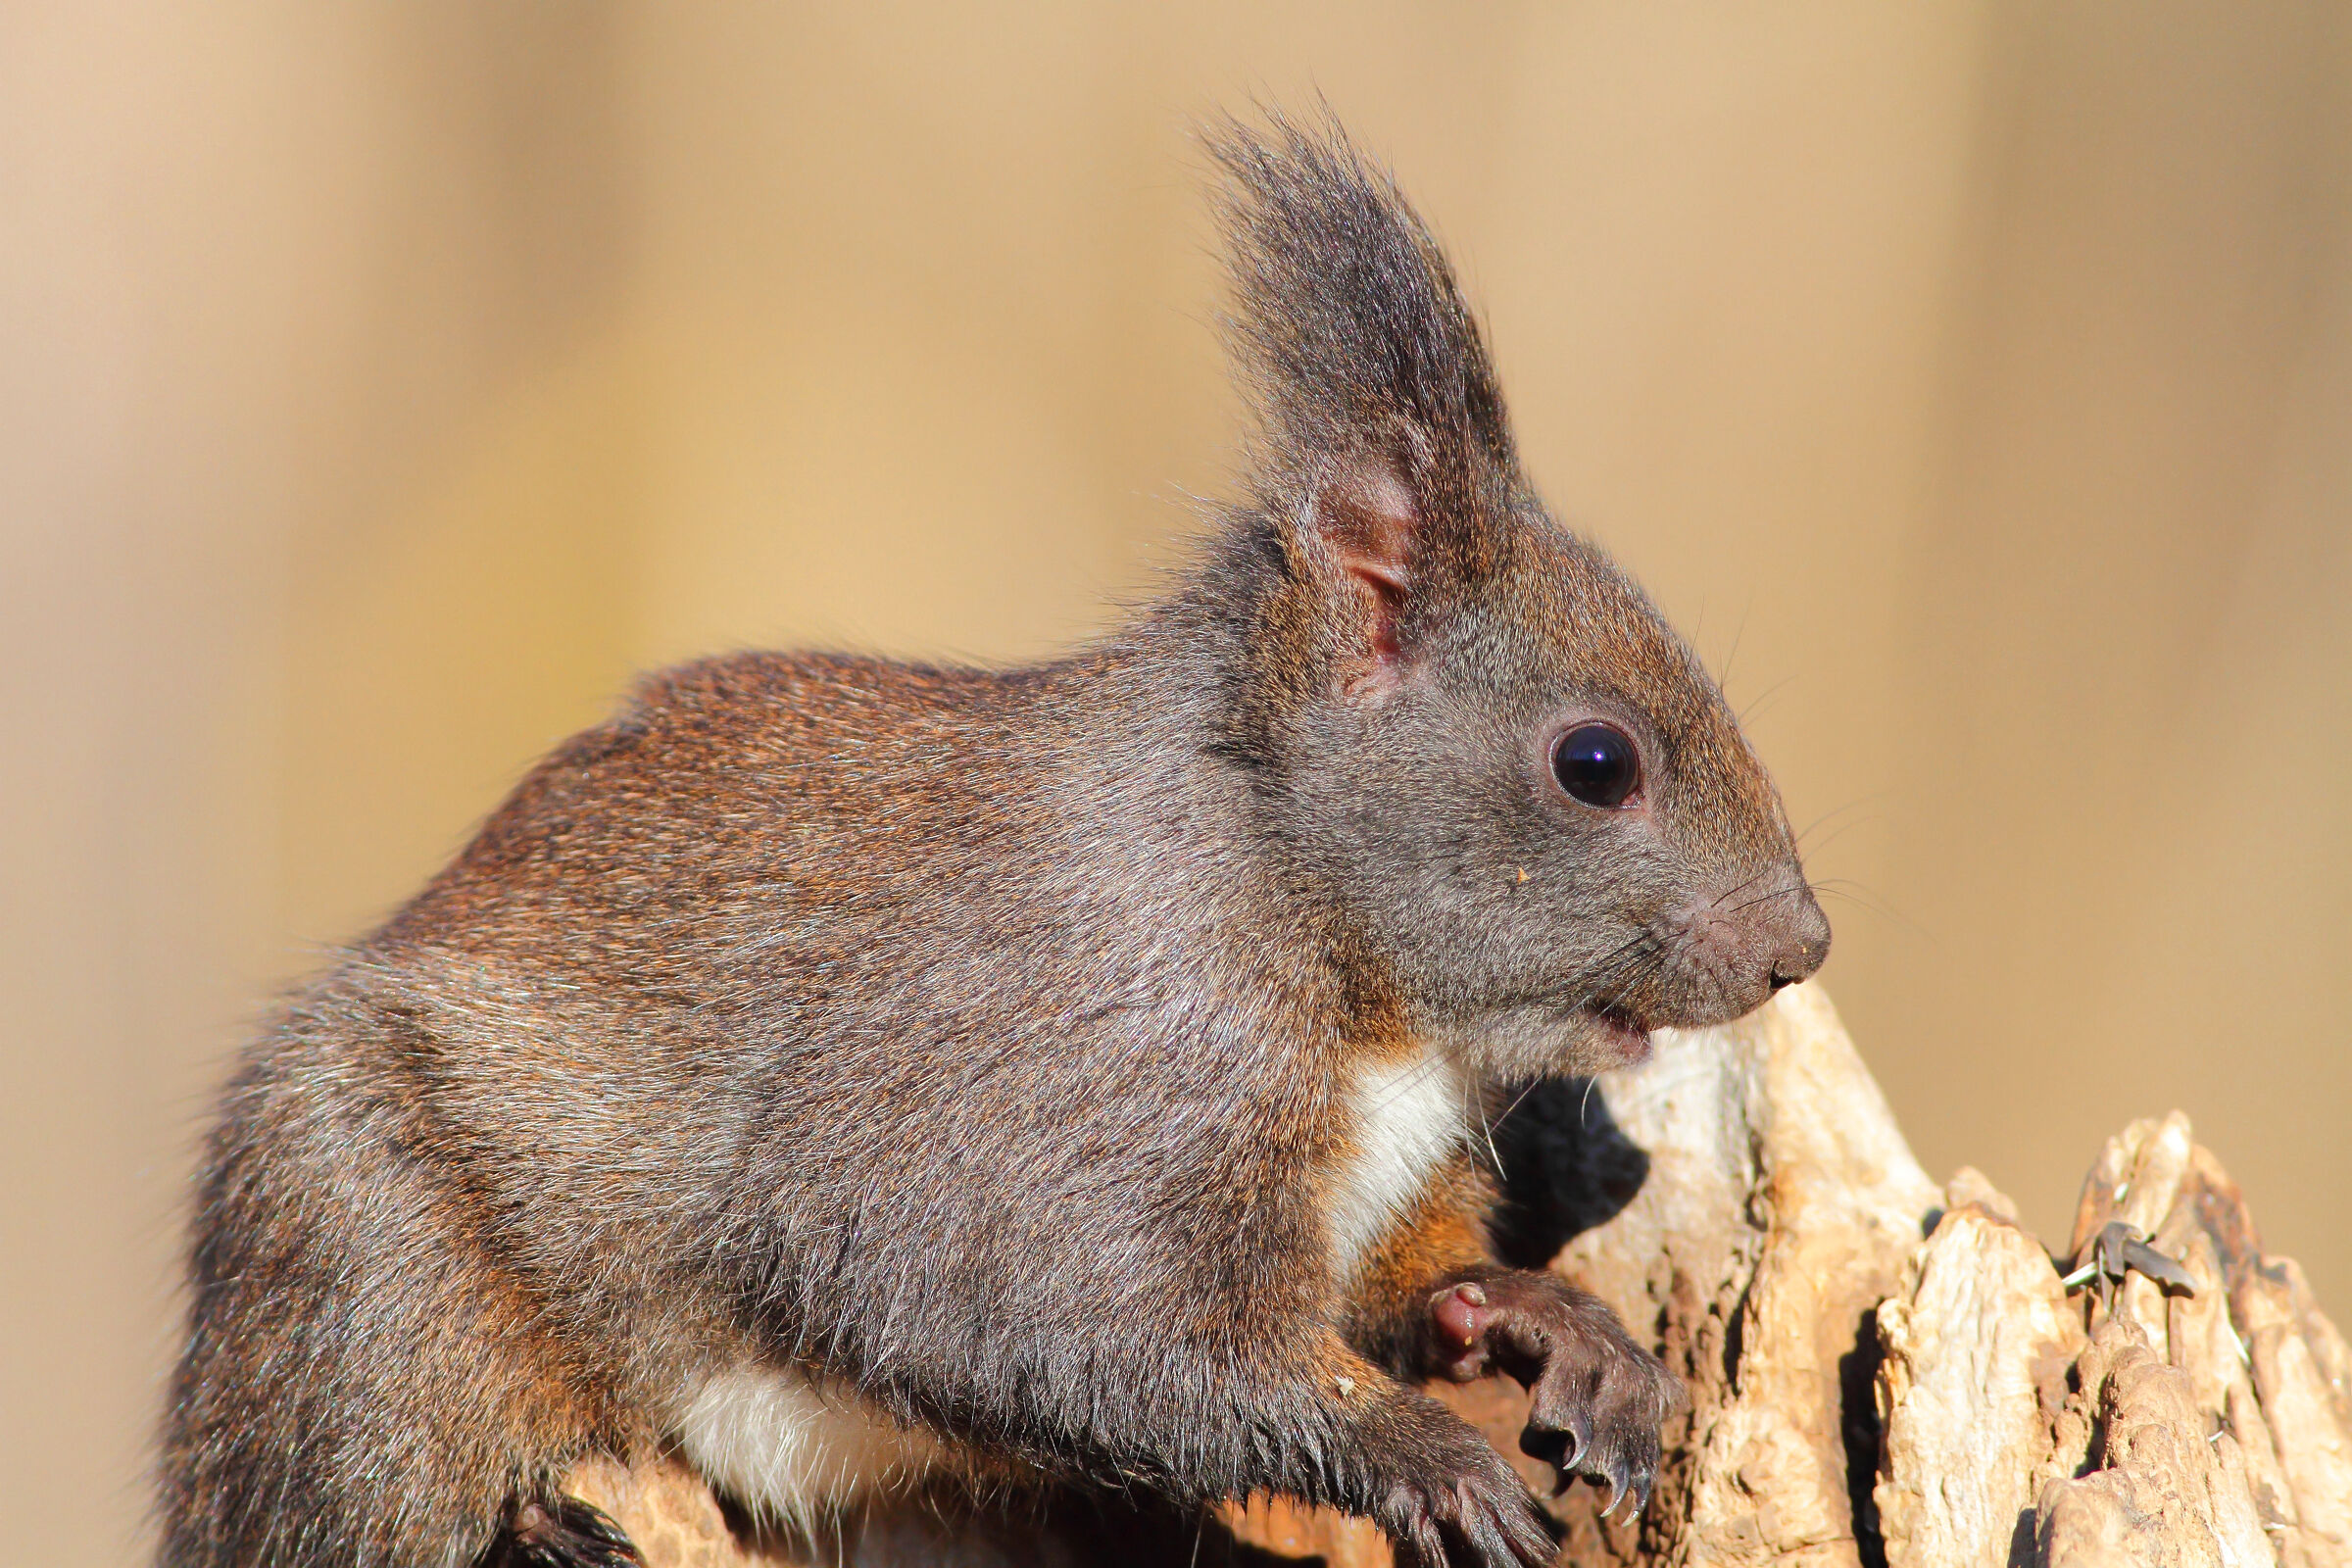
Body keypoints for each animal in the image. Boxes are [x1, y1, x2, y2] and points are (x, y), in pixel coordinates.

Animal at [160, 113, 1828, 1568]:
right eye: (1595, 763)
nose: (1798, 948)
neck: (1308, 918)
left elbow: (1412, 1285)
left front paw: (1554, 1326)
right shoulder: (1044, 1106)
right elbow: (1044, 1330)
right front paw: (1420, 1455)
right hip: (369, 1279)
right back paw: (523, 1521)